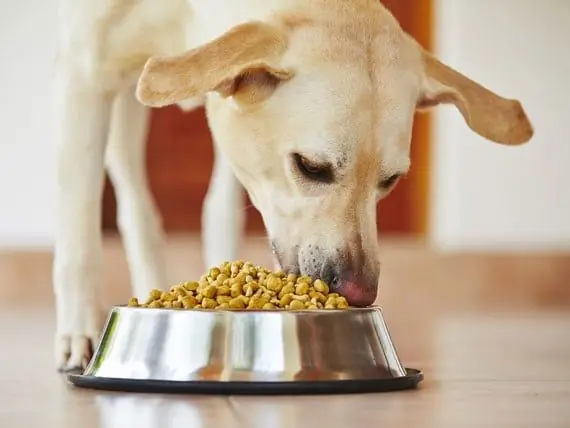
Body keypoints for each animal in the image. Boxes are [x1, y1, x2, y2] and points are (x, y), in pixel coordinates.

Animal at [51, 0, 532, 370]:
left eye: (390, 181)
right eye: (311, 167)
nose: (360, 292)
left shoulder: (230, 123)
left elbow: (221, 212)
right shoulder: (86, 74)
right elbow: (78, 231)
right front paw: (80, 332)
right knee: (131, 199)